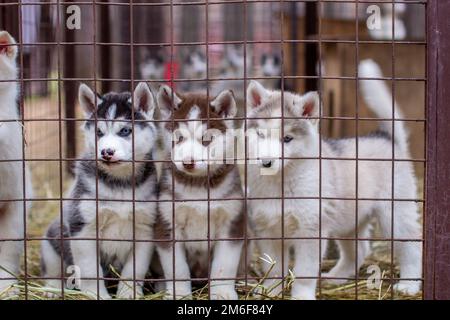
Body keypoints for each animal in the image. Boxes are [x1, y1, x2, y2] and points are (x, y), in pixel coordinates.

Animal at [40, 81, 159, 298]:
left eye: (125, 131)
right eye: (99, 133)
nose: (106, 152)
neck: (119, 184)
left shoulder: (145, 229)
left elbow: (134, 270)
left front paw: (128, 293)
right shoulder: (82, 227)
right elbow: (89, 270)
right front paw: (95, 294)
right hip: (50, 241)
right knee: (52, 269)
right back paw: (52, 287)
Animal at [155, 85, 246, 300]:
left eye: (207, 139)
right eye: (179, 138)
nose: (188, 162)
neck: (197, 185)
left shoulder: (232, 223)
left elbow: (224, 266)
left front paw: (222, 292)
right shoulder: (167, 223)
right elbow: (177, 268)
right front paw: (178, 293)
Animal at [246, 60, 422, 300]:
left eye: (287, 139)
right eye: (261, 135)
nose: (266, 163)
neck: (281, 183)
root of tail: (387, 139)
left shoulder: (311, 231)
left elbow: (304, 272)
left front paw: (301, 296)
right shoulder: (268, 230)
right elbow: (272, 268)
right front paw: (270, 291)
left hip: (395, 216)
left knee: (412, 245)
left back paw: (409, 285)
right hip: (349, 220)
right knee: (358, 251)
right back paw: (336, 277)